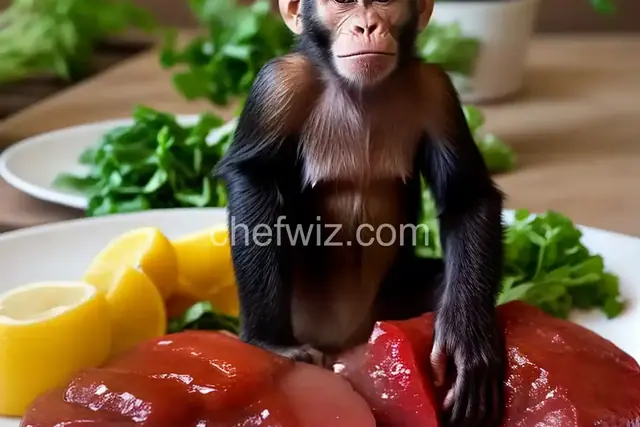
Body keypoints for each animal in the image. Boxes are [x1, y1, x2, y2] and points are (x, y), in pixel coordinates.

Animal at [215, 0, 506, 425]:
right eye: (341, 2)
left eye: (385, 3)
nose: (366, 26)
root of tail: (345, 342)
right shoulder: (278, 85)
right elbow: (253, 180)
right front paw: (271, 343)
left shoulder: (437, 91)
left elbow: (466, 197)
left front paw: (467, 339)